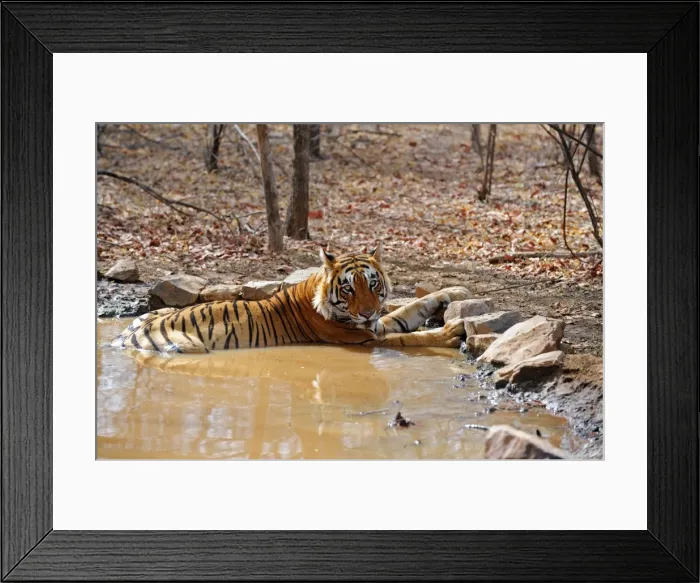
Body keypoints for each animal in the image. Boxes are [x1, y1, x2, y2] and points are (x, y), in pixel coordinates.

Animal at [111, 243, 469, 354]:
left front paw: (455, 293)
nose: (368, 313)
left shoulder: (377, 325)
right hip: (187, 345)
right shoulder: (364, 339)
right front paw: (453, 333)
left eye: (372, 284)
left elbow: (412, 307)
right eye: (348, 288)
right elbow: (414, 337)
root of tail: (121, 338)